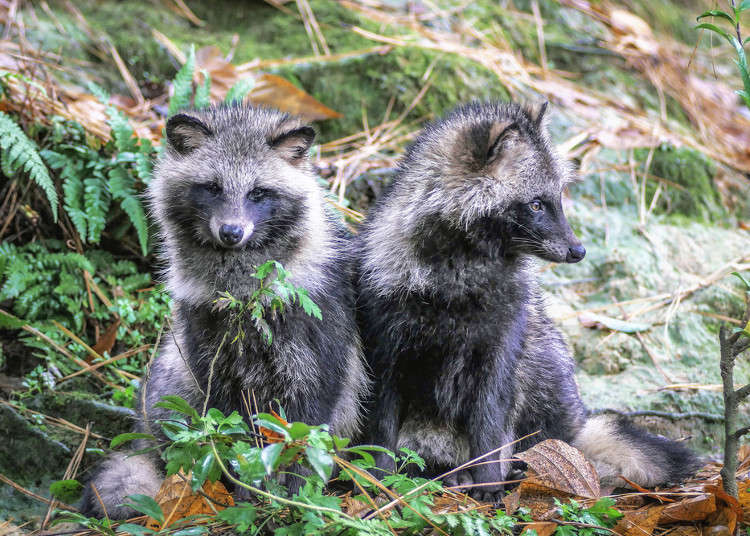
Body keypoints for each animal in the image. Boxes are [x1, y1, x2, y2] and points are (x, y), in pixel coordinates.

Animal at [81, 104, 370, 520]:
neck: (243, 286)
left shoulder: (319, 330)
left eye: (258, 192)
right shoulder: (206, 337)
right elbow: (226, 424)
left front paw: (293, 491)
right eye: (213, 188)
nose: (232, 232)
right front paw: (246, 486)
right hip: (172, 382)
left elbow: (308, 422)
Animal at [356, 100, 704, 502]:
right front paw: (377, 479)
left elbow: (489, 426)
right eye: (537, 204)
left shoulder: (499, 353)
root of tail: (576, 426)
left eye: (559, 200)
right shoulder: (388, 352)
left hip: (539, 363)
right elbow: (382, 427)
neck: (459, 276)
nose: (579, 251)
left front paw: (488, 481)